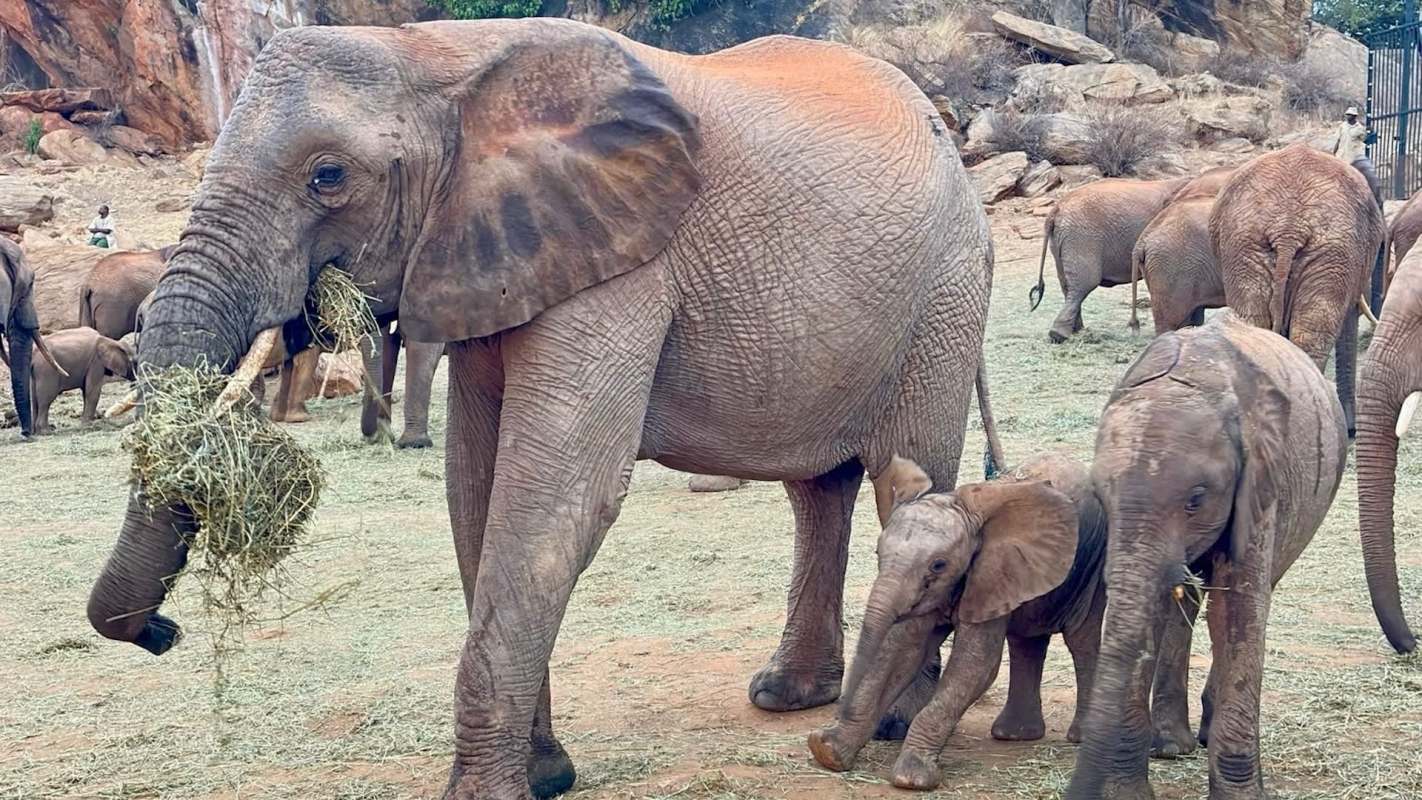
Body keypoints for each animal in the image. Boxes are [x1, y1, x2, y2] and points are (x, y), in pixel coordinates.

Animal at [84, 20, 996, 800]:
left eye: (328, 176)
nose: (162, 632)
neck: (439, 54)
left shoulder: (624, 263)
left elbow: (555, 500)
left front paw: (492, 792)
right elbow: (476, 494)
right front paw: (547, 777)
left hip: (946, 291)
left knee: (909, 470)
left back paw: (892, 721)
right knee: (819, 490)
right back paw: (787, 696)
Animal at [808, 452, 1106, 791]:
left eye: (938, 565)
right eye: (877, 552)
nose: (837, 711)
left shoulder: (990, 572)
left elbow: (975, 666)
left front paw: (912, 777)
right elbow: (901, 652)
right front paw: (828, 752)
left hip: (1093, 565)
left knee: (1081, 640)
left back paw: (1079, 737)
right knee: (1026, 640)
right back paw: (1014, 735)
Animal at [1065, 311, 1346, 800]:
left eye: (1196, 499)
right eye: (1100, 495)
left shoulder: (1262, 484)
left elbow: (1238, 613)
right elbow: (1153, 608)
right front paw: (1127, 793)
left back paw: (1200, 734)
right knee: (1187, 605)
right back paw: (1171, 746)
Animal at [1210, 143, 1385, 435]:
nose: (1352, 431)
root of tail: (1288, 228)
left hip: (1248, 248)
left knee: (1256, 327)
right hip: (1329, 253)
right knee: (1311, 338)